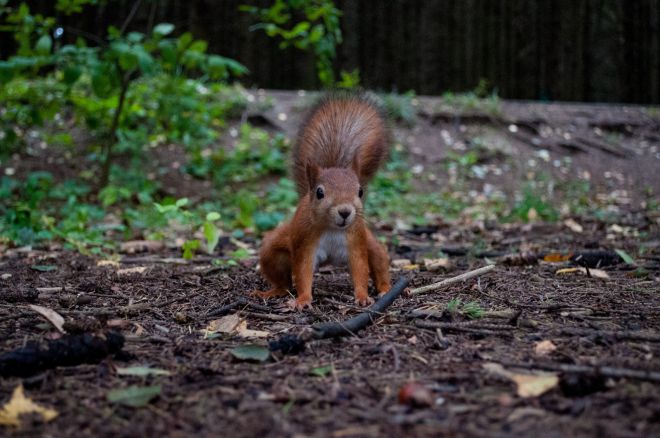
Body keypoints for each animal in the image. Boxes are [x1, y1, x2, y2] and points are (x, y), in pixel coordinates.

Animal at [251, 94, 386, 310]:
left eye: (360, 191)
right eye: (320, 193)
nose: (345, 212)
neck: (332, 228)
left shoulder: (356, 240)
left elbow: (360, 269)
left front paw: (363, 296)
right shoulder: (305, 241)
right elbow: (303, 272)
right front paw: (303, 299)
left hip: (370, 243)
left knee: (379, 260)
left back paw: (386, 289)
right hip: (273, 251)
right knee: (283, 282)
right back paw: (272, 292)